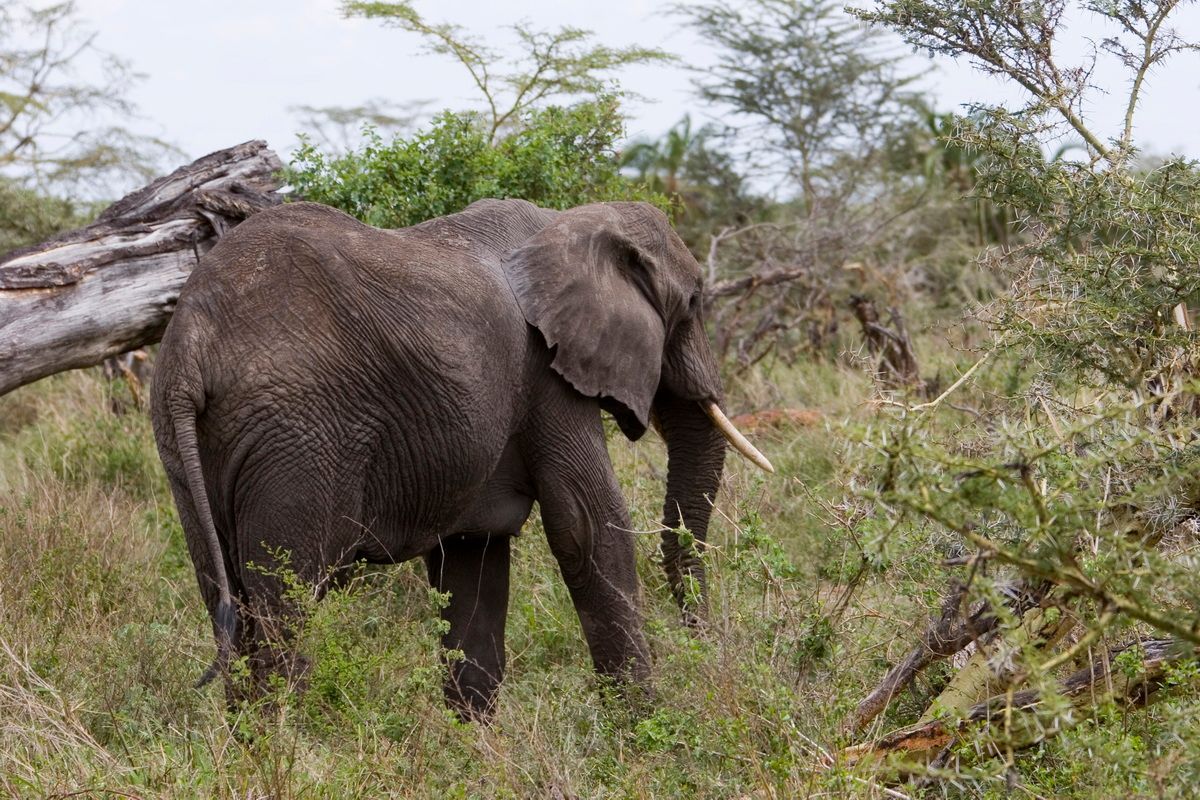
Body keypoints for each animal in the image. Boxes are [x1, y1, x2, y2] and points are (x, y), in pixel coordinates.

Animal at [150, 198, 772, 719]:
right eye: (692, 304)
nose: (702, 640)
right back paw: (286, 747)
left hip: (187, 447)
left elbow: (475, 560)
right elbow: (587, 524)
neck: (574, 222)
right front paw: (643, 731)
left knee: (225, 593)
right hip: (298, 437)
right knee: (286, 601)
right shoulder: (546, 374)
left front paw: (474, 744)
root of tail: (192, 341)